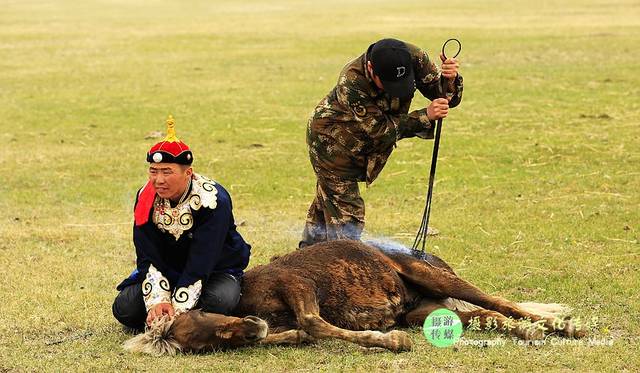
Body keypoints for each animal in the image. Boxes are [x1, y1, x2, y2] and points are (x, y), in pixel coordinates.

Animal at [124, 238, 584, 354]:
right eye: (204, 347)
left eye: (206, 319)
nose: (252, 331)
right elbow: (307, 330)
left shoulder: (298, 284)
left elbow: (313, 322)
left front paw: (389, 342)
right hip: (425, 312)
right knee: (489, 317)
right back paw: (532, 334)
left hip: (436, 279)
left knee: (501, 304)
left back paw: (563, 327)